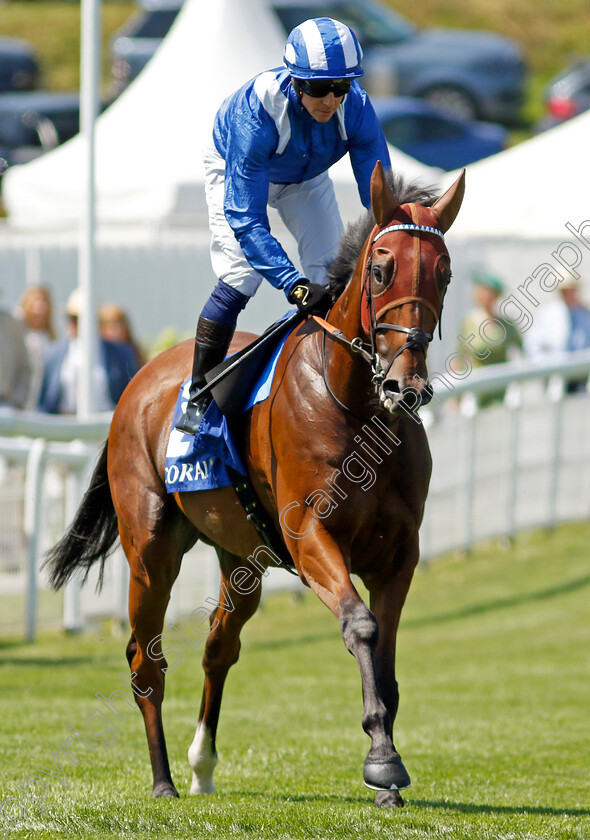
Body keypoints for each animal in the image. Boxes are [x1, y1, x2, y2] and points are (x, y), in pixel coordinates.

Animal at [46, 164, 468, 808]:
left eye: (443, 272)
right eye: (380, 268)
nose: (407, 385)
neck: (353, 406)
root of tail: (140, 380)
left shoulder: (399, 554)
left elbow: (387, 657)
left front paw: (388, 768)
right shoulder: (311, 536)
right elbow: (361, 627)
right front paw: (382, 761)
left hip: (240, 557)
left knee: (219, 646)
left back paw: (201, 766)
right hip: (151, 551)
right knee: (146, 659)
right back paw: (164, 779)